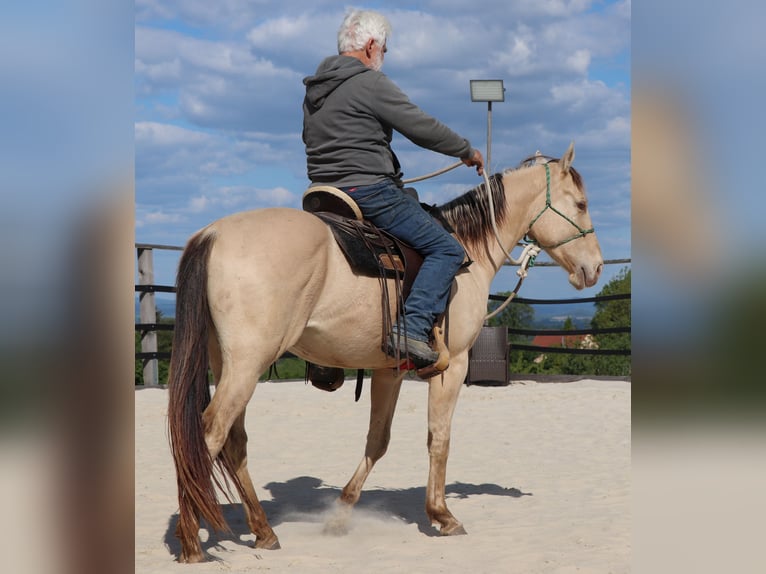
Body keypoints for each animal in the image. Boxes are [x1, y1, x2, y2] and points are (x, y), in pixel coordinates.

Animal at [167, 142, 603, 563]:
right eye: (581, 203)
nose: (596, 268)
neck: (468, 251)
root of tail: (212, 234)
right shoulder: (453, 366)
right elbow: (439, 437)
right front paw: (442, 515)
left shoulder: (388, 370)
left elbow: (378, 440)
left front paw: (341, 515)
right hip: (247, 364)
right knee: (208, 434)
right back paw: (191, 542)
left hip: (227, 362)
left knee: (233, 441)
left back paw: (263, 530)